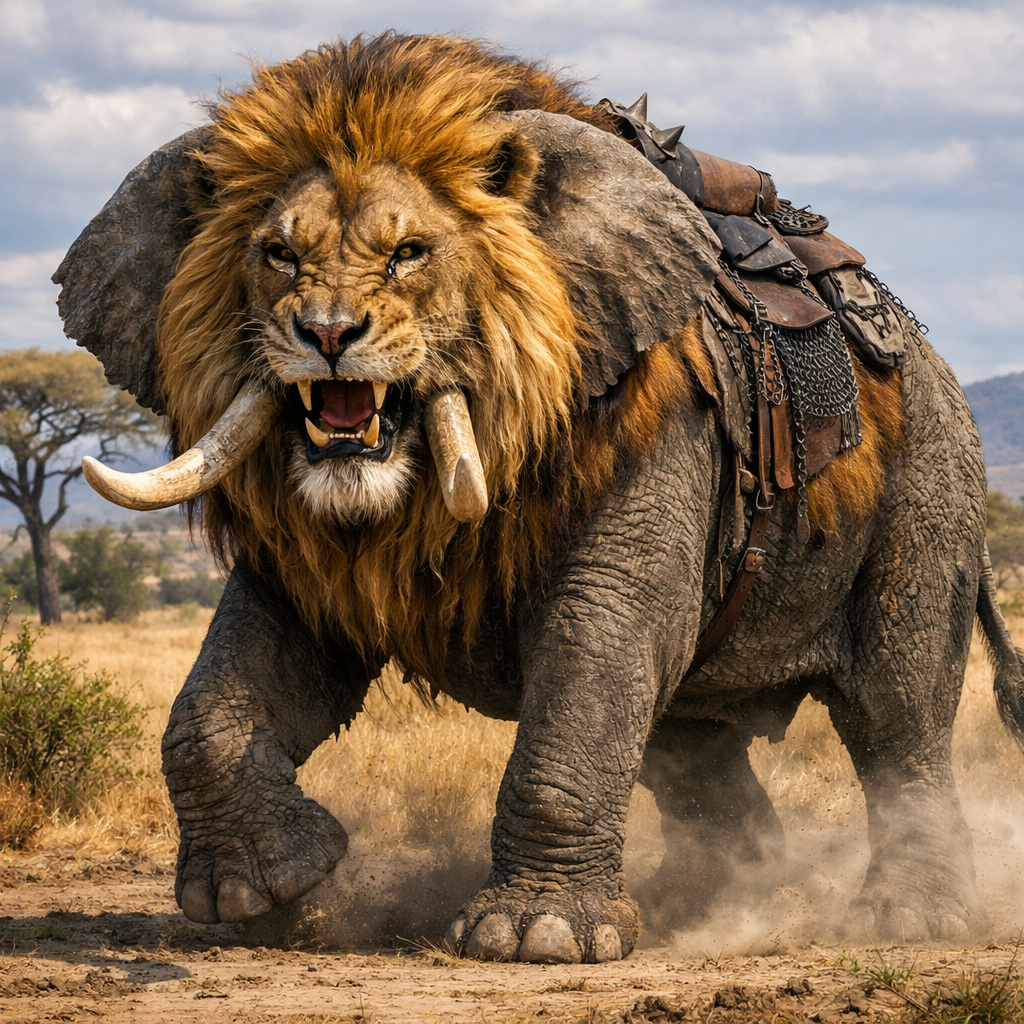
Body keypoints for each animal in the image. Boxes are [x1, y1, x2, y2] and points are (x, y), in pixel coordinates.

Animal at [52, 34, 1024, 964]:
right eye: (278, 254)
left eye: (409, 254)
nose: (327, 336)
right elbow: (230, 684)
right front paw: (265, 894)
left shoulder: (661, 419)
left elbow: (597, 636)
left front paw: (537, 941)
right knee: (690, 746)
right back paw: (717, 904)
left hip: (930, 487)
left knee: (896, 717)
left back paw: (908, 924)